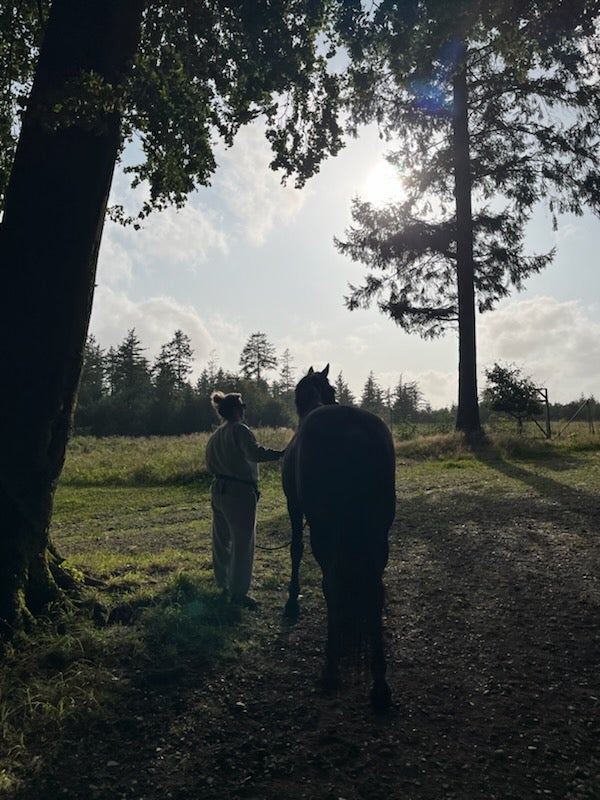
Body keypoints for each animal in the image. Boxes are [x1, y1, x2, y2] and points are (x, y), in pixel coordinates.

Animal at [282, 366, 396, 708]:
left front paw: (291, 600)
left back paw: (331, 669)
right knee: (375, 589)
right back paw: (380, 681)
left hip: (326, 531)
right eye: (332, 388)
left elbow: (295, 549)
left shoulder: (294, 507)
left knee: (331, 584)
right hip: (377, 533)